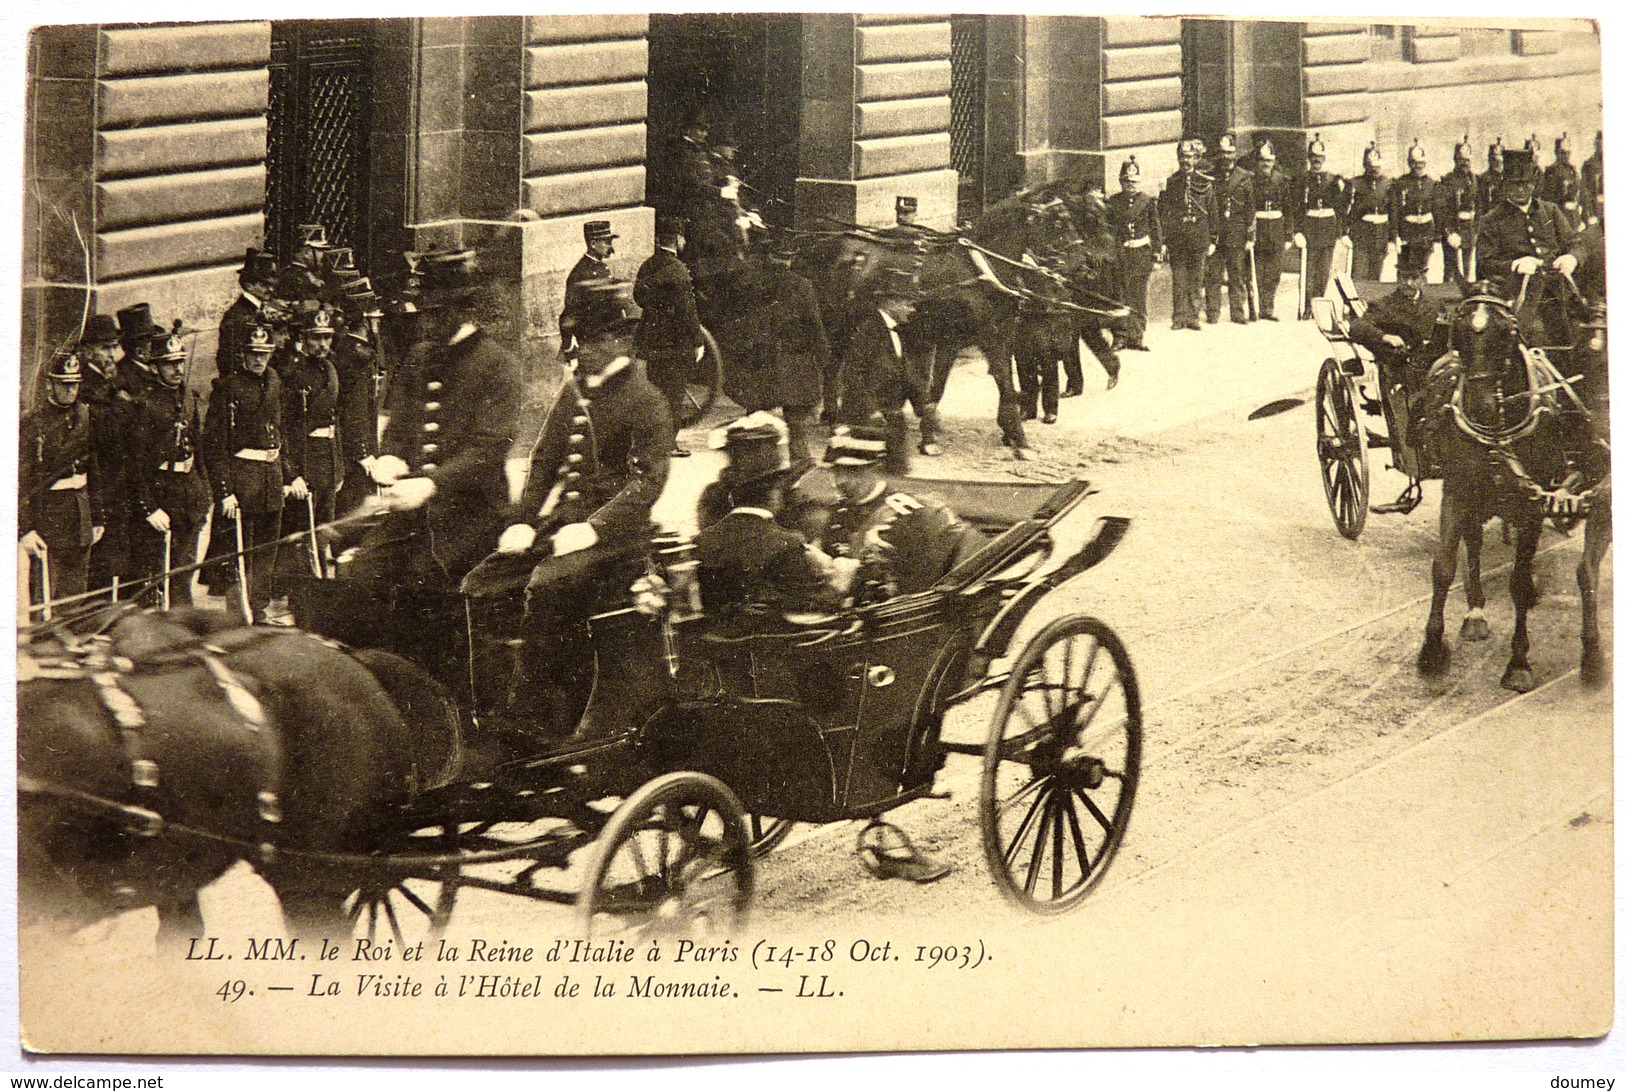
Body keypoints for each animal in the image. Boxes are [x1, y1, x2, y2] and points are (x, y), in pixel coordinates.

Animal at [1417, 281, 1605, 692]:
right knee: (1473, 543)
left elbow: (1517, 583)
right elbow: (1443, 567)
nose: (1482, 405)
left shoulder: (1533, 505)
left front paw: (1518, 662)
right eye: (1459, 332)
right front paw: (1432, 652)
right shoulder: (1456, 490)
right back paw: (1475, 613)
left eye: (1507, 334)